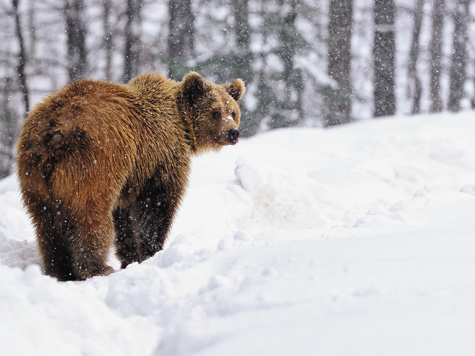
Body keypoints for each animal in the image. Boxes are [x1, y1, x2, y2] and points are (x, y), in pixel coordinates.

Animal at [15, 71, 245, 280]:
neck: (182, 124)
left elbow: (124, 217)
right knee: (91, 216)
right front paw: (152, 252)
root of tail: (54, 129)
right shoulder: (160, 158)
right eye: (215, 112)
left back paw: (59, 270)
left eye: (233, 111)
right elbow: (156, 206)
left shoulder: (132, 176)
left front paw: (131, 257)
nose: (233, 132)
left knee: (46, 222)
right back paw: (97, 268)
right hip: (92, 163)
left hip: (34, 174)